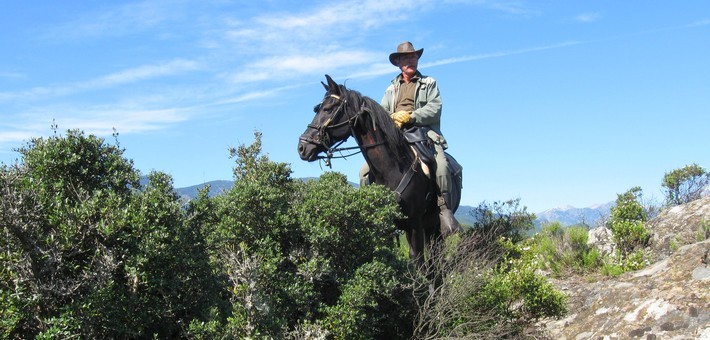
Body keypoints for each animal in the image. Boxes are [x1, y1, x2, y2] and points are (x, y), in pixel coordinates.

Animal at [298, 74, 464, 266]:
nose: (302, 147)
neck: (392, 170)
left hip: (434, 225)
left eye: (328, 109)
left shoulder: (414, 223)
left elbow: (417, 261)